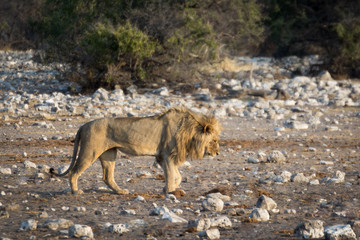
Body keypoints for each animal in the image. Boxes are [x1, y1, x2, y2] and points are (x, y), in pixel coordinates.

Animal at [50, 108, 219, 194]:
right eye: (215, 140)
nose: (218, 153)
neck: (189, 130)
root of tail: (83, 125)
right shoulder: (167, 155)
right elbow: (172, 175)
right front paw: (170, 191)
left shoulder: (162, 156)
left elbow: (177, 175)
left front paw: (168, 189)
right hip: (90, 151)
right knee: (74, 172)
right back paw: (76, 191)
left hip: (109, 154)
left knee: (107, 177)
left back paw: (121, 191)